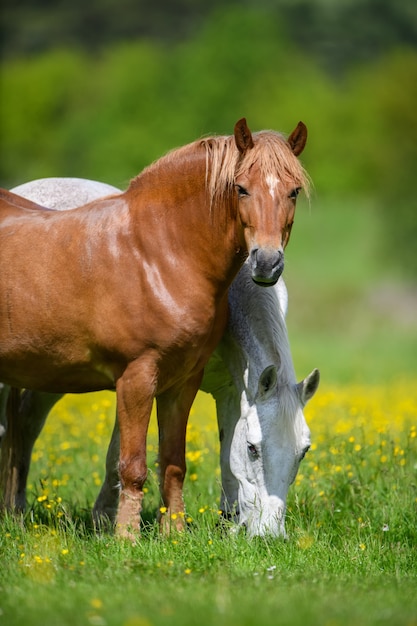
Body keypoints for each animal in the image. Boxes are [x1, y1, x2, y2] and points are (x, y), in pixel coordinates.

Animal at [0, 120, 308, 536]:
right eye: (241, 188)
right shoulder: (137, 377)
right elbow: (129, 462)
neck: (158, 255)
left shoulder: (191, 383)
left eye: (294, 191)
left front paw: (187, 530)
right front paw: (121, 533)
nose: (267, 263)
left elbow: (177, 461)